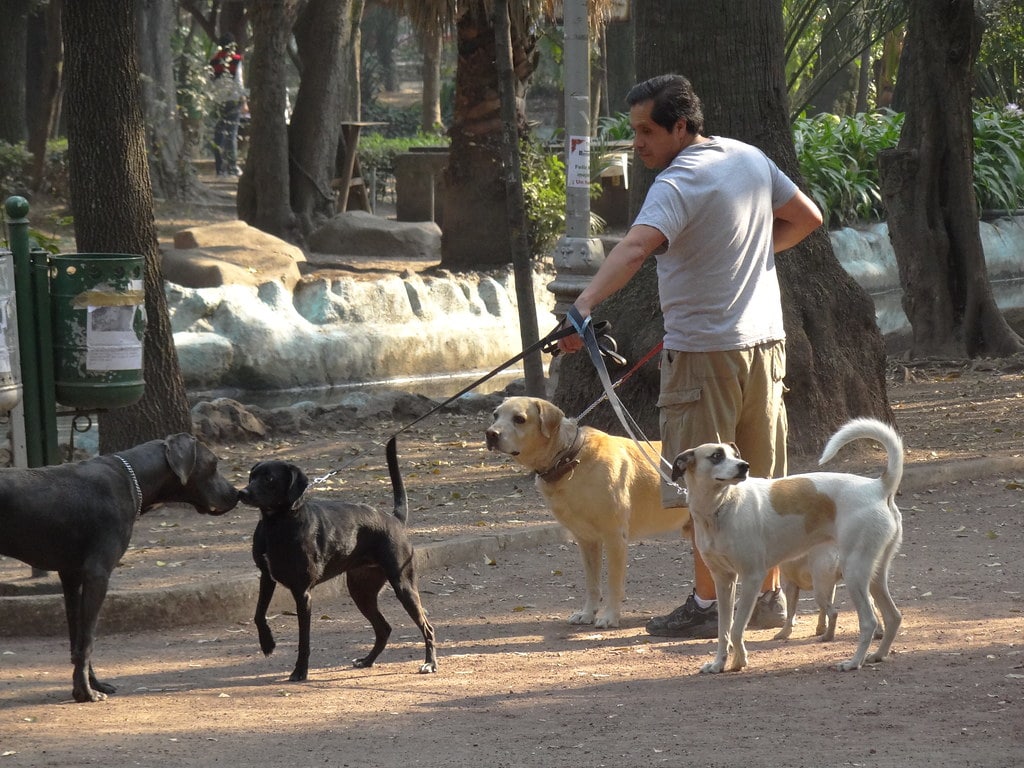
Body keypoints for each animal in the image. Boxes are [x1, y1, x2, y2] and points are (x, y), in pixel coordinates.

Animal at [0, 434, 237, 704]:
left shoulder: (71, 576)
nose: (238, 493)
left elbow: (77, 639)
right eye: (214, 463)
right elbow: (88, 639)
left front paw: (91, 684)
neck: (132, 477)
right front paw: (86, 692)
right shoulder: (97, 574)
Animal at [238, 436, 436, 684]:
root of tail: (394, 519)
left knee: (427, 627)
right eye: (252, 476)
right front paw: (267, 644)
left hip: (403, 586)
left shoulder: (302, 593)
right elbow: (258, 614)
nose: (242, 493)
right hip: (361, 591)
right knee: (384, 629)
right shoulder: (266, 577)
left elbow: (304, 640)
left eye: (269, 478)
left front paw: (300, 671)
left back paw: (429, 663)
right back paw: (367, 661)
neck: (278, 523)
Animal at [485, 399, 688, 626]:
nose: (490, 434)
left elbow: (613, 583)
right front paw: (588, 613)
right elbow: (592, 584)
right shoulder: (587, 540)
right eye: (495, 415)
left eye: (519, 419)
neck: (570, 457)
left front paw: (609, 617)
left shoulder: (615, 537)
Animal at [671, 417, 905, 675]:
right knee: (893, 616)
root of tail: (878, 486)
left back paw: (854, 662)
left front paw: (739, 661)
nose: (744, 466)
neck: (721, 507)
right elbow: (724, 630)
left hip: (855, 572)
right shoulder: (723, 580)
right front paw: (718, 664)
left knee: (870, 621)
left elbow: (736, 628)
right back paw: (878, 655)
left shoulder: (752, 577)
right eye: (716, 456)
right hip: (874, 575)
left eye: (735, 454)